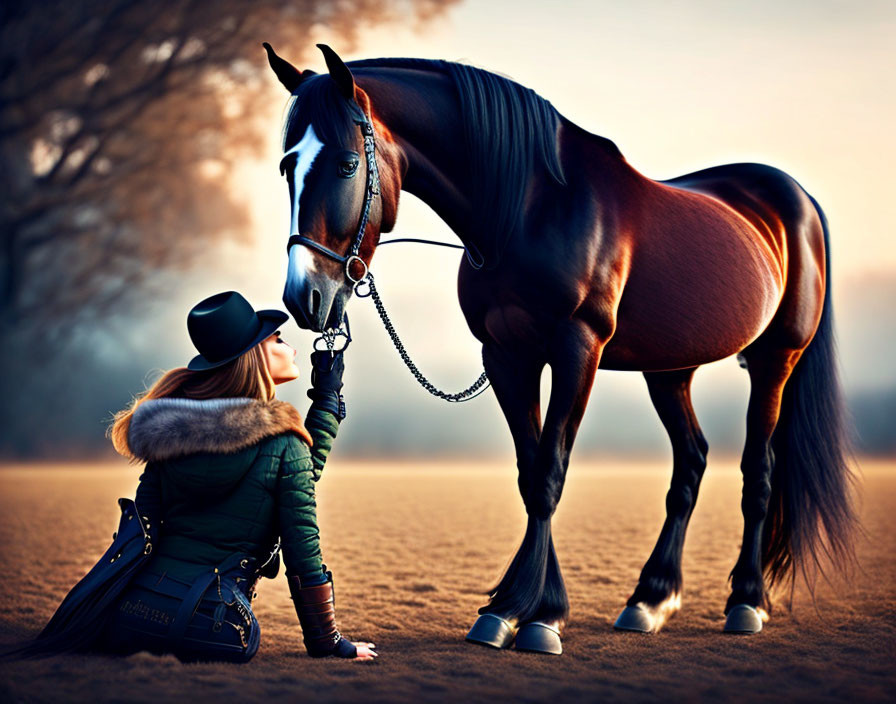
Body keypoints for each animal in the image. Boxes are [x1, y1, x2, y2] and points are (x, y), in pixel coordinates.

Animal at [262, 42, 856, 656]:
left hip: (775, 360)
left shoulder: (577, 348)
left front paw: (540, 617)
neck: (529, 208)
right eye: (286, 166)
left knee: (757, 472)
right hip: (670, 369)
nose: (304, 296)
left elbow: (551, 471)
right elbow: (531, 475)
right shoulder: (506, 356)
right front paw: (506, 610)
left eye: (346, 165)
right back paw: (649, 600)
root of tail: (796, 201)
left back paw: (746, 602)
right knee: (690, 463)